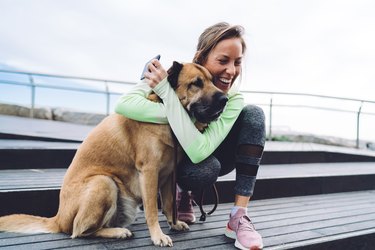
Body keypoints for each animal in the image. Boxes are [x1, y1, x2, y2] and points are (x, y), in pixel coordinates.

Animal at [0, 62, 229, 246]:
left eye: (211, 80)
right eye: (196, 83)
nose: (225, 99)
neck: (166, 112)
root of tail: (58, 219)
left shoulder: (168, 174)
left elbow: (169, 203)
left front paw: (174, 223)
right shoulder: (149, 172)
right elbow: (152, 210)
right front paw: (158, 236)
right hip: (103, 182)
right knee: (79, 231)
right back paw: (118, 232)